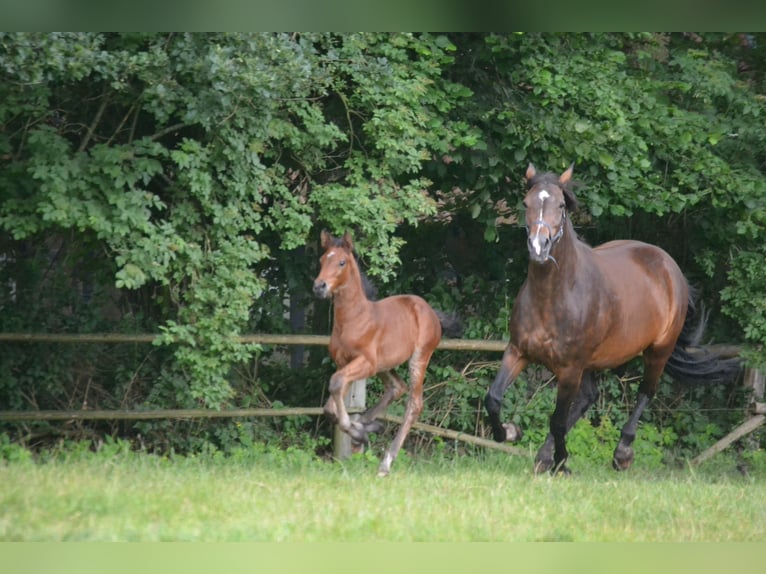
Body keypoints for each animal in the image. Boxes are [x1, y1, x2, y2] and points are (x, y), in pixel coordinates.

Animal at [316, 230, 452, 476]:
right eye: (322, 260)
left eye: (341, 262)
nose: (319, 286)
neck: (354, 318)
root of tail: (430, 311)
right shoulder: (344, 362)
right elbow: (330, 405)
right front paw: (360, 432)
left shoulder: (365, 362)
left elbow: (336, 383)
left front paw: (358, 432)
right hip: (385, 364)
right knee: (397, 387)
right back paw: (370, 427)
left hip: (417, 358)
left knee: (414, 404)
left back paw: (386, 462)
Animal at [486, 164, 744, 474]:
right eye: (526, 203)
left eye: (561, 205)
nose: (539, 247)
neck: (552, 297)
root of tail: (667, 265)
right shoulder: (518, 351)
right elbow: (493, 398)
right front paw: (511, 433)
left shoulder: (570, 369)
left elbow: (557, 419)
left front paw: (562, 463)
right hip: (592, 363)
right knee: (588, 398)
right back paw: (545, 456)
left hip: (658, 351)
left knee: (646, 392)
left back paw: (621, 454)